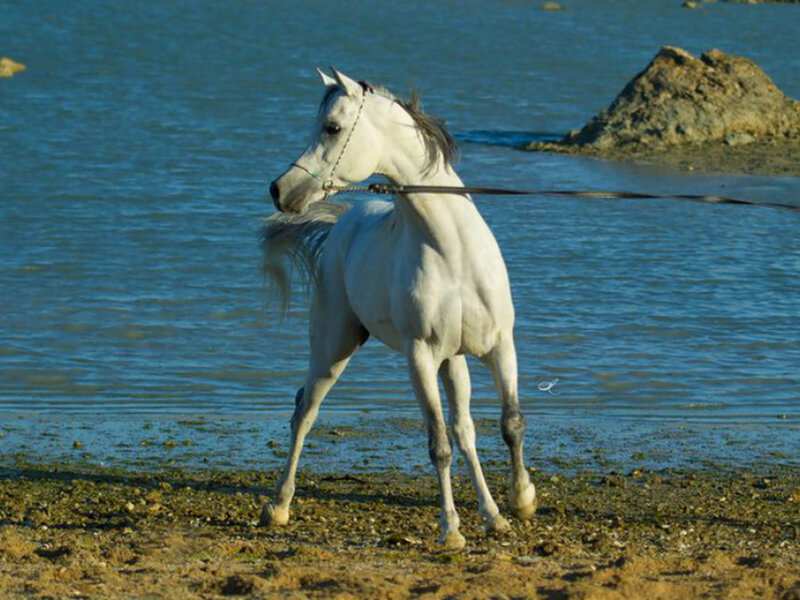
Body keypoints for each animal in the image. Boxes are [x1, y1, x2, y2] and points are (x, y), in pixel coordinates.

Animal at [260, 67, 536, 548]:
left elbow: (509, 423)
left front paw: (520, 502)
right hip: (333, 349)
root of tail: (343, 225)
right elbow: (438, 445)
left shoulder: (499, 347)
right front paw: (451, 530)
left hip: (453, 361)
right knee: (304, 411)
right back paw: (278, 506)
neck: (453, 251)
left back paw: (491, 513)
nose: (281, 190)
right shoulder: (420, 356)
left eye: (332, 128)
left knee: (466, 430)